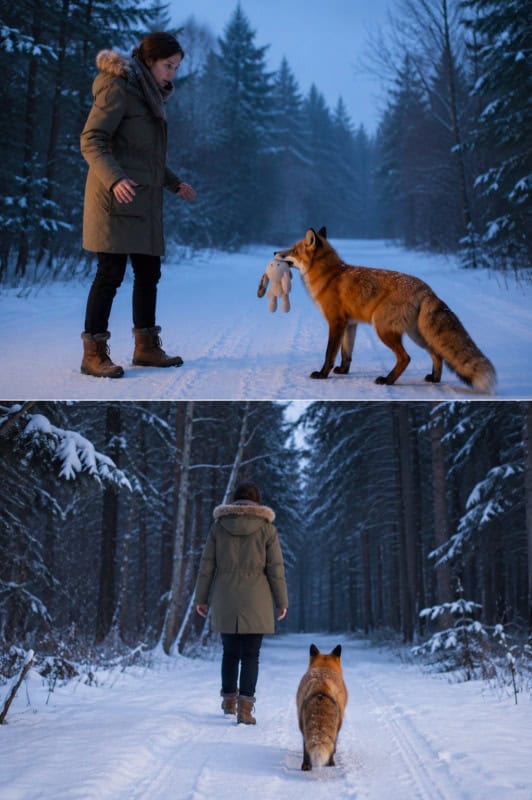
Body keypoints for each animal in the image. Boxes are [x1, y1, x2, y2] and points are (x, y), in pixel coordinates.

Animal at [276, 227, 496, 392]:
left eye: (293, 251)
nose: (274, 253)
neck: (328, 275)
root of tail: (427, 289)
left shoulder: (336, 322)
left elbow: (329, 353)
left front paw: (322, 374)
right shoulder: (350, 324)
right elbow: (347, 353)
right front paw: (343, 371)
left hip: (382, 328)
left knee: (406, 358)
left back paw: (388, 380)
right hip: (417, 335)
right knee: (437, 353)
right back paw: (434, 378)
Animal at [296, 643, 348, 771]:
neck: (323, 668)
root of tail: (321, 687)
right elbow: (335, 744)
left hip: (302, 724)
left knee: (306, 745)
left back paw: (306, 766)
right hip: (338, 723)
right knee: (332, 744)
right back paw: (331, 763)